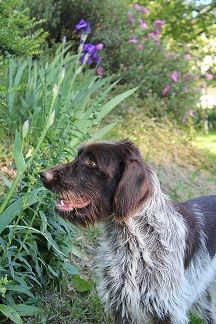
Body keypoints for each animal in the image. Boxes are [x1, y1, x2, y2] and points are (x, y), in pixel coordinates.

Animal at [40, 140, 216, 324]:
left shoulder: (167, 310)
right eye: (78, 156)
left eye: (92, 162)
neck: (136, 239)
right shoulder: (121, 303)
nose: (43, 174)